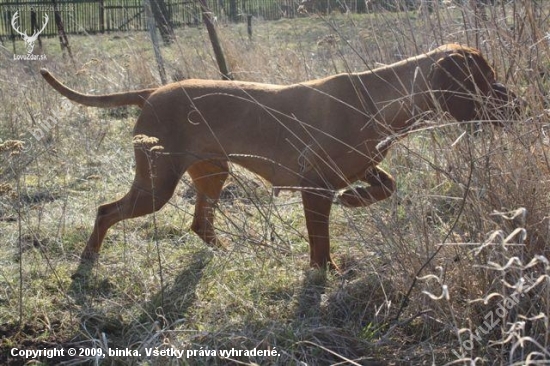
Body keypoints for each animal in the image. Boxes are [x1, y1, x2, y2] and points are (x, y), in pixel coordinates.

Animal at [42, 44, 520, 270]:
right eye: (484, 79)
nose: (518, 105)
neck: (375, 100)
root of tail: (153, 91)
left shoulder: (359, 168)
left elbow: (386, 184)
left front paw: (356, 200)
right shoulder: (315, 189)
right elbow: (320, 247)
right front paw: (324, 274)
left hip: (212, 174)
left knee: (199, 224)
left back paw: (227, 249)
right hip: (156, 185)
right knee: (106, 211)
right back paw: (88, 259)